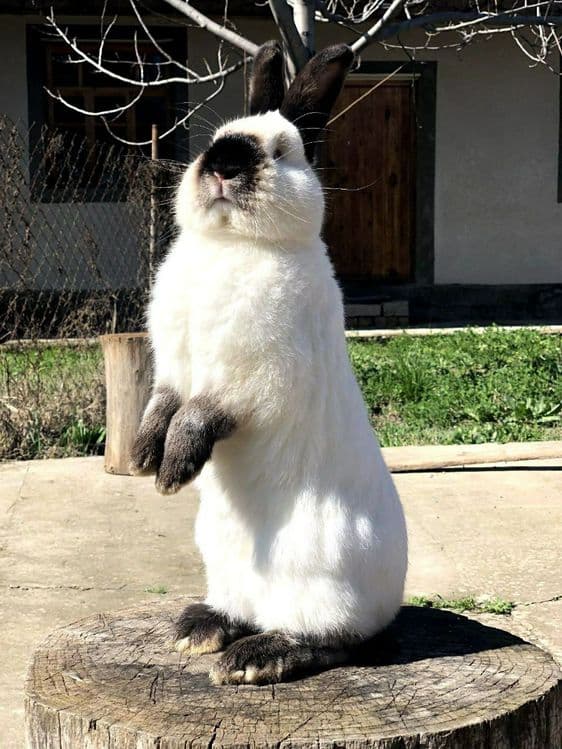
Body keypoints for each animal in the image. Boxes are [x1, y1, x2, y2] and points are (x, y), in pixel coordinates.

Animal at [130, 41, 408, 686]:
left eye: (281, 151)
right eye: (217, 138)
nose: (223, 164)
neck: (231, 243)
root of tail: (392, 597)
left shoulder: (249, 377)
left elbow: (200, 414)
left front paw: (173, 469)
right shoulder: (173, 370)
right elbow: (163, 403)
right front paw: (143, 455)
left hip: (319, 577)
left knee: (337, 643)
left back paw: (256, 658)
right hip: (221, 560)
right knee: (242, 610)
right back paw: (200, 629)